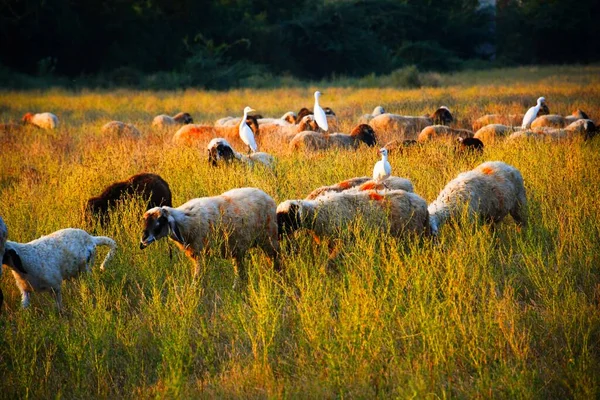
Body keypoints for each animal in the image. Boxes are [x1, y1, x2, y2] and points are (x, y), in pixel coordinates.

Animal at [139, 187, 280, 282]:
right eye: (144, 222)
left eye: (160, 221)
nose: (143, 241)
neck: (186, 221)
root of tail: (265, 194)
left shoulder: (202, 255)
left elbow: (198, 279)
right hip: (239, 248)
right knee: (240, 271)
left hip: (269, 239)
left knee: (276, 261)